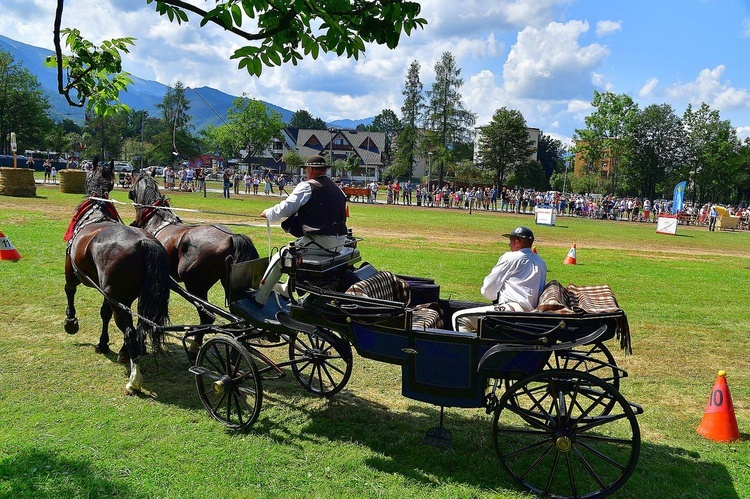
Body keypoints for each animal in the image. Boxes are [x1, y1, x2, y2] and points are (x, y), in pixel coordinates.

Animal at [64, 162, 170, 396]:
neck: (96, 214)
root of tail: (144, 242)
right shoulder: (108, 293)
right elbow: (104, 314)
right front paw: (103, 343)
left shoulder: (71, 271)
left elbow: (69, 291)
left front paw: (70, 322)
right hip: (127, 298)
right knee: (139, 329)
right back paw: (126, 353)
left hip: (118, 299)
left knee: (130, 332)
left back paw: (134, 381)